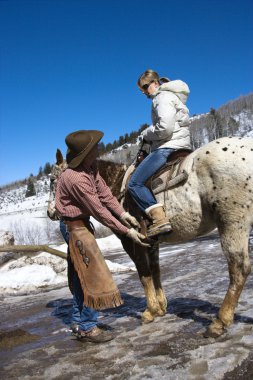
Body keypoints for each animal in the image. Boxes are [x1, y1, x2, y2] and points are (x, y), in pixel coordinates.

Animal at [49, 135, 253, 336]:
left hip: (232, 222)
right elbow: (156, 271)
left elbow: (144, 274)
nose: (51, 212)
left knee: (239, 268)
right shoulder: (152, 242)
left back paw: (219, 322)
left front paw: (150, 311)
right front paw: (161, 307)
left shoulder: (133, 242)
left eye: (52, 179)